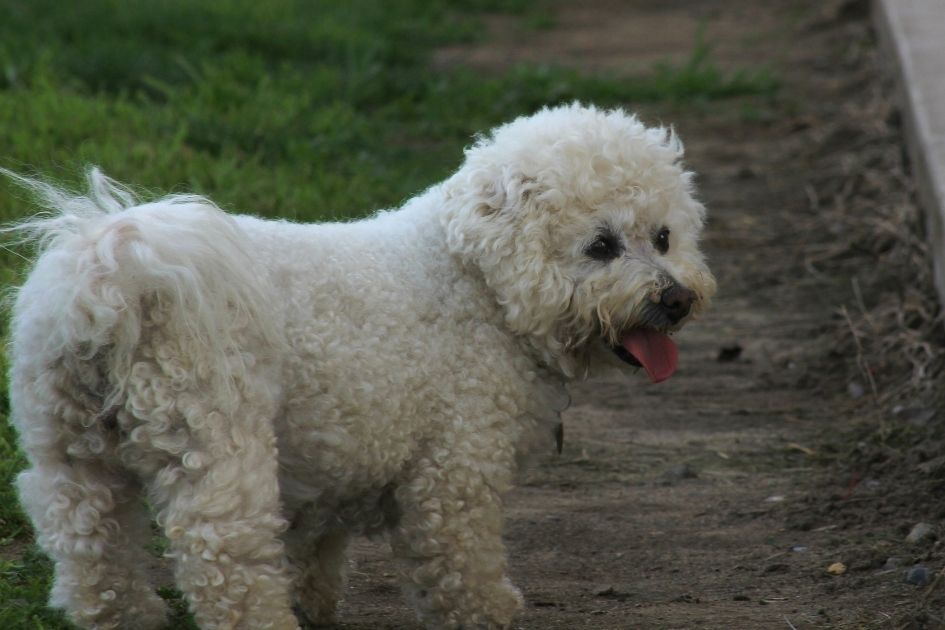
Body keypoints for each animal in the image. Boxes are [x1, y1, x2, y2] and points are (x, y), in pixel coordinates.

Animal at [5, 105, 716, 630]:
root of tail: (111, 275)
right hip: (214, 441)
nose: (676, 300)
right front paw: (490, 610)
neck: (472, 280)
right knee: (224, 557)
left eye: (664, 238)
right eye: (601, 245)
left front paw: (315, 601)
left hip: (70, 449)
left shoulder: (327, 460)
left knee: (90, 549)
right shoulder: (454, 469)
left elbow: (313, 546)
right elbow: (462, 559)